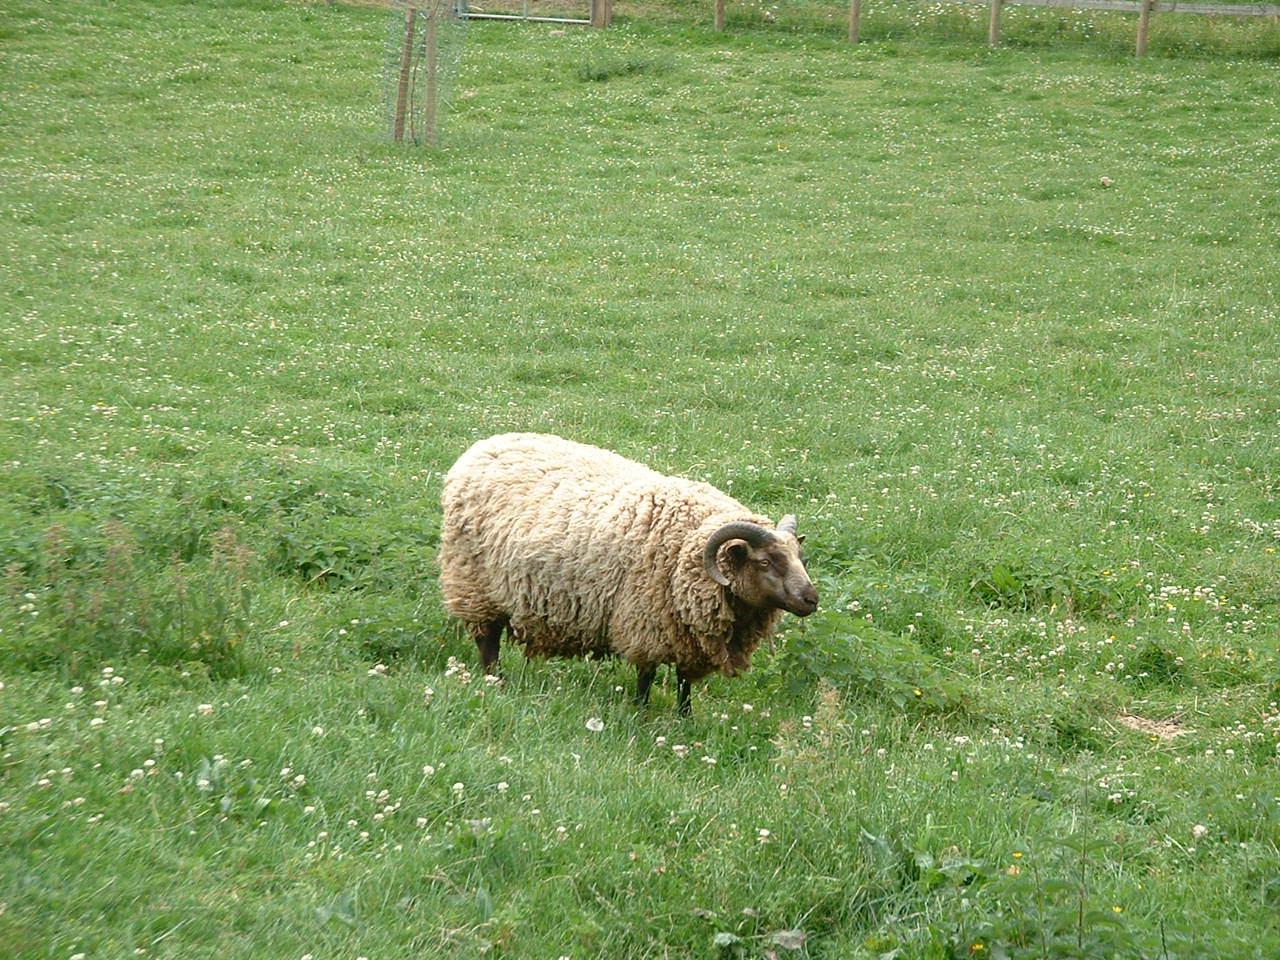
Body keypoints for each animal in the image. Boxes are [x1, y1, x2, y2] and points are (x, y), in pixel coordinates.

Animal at [440, 435, 819, 716]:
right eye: (765, 563)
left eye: (800, 558)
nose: (811, 600)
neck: (686, 549)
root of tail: (484, 446)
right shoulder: (644, 622)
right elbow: (646, 675)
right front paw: (640, 711)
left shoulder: (688, 636)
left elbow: (684, 682)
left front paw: (685, 719)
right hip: (474, 583)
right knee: (488, 639)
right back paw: (496, 682)